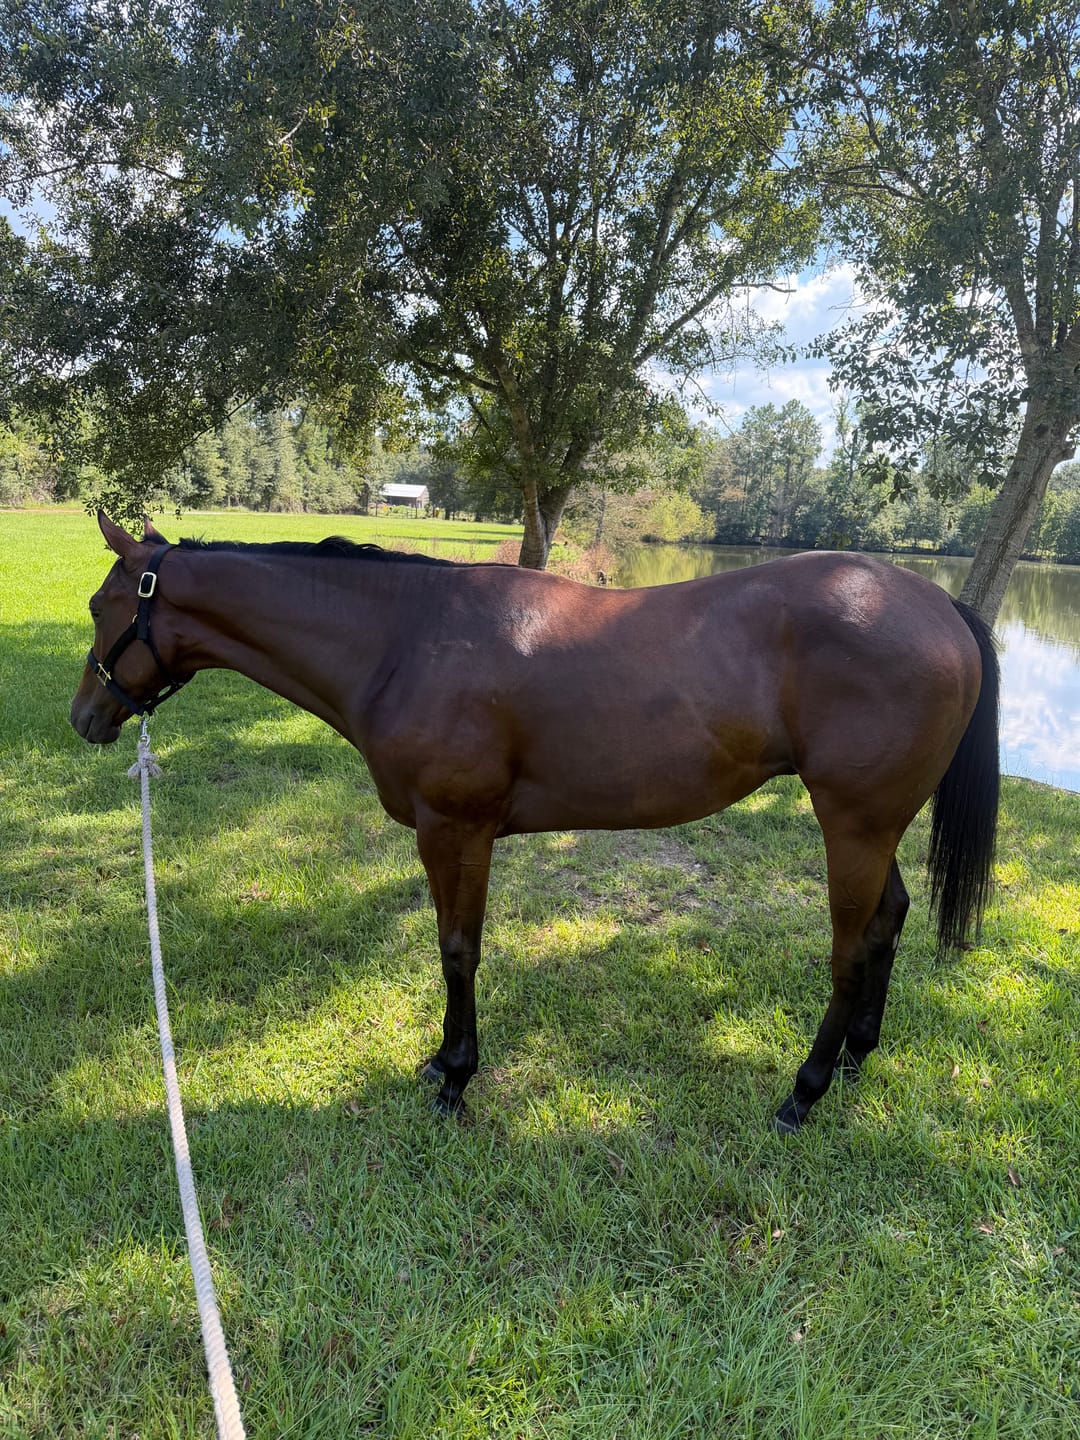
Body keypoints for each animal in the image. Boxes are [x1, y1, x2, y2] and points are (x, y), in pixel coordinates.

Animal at [71, 512, 1000, 1134]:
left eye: (96, 604)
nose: (86, 717)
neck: (407, 639)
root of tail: (938, 605)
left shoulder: (455, 829)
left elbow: (457, 950)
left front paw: (455, 1078)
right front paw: (443, 1065)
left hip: (853, 823)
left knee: (849, 949)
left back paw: (803, 1092)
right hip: (874, 825)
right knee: (887, 921)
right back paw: (855, 1059)